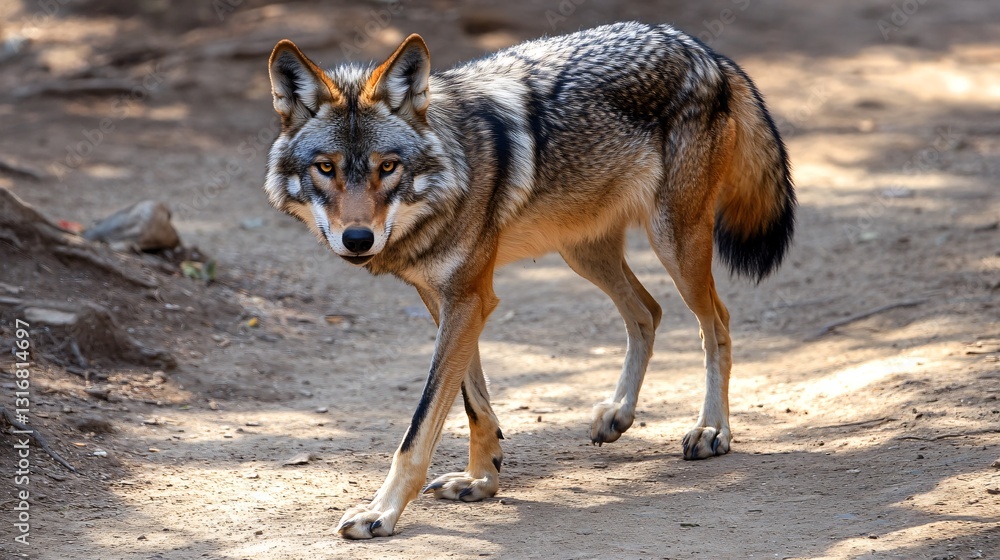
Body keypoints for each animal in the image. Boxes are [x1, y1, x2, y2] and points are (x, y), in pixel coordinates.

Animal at [263, 21, 795, 539]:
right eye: (325, 168)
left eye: (387, 167)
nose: (357, 238)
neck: (455, 166)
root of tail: (703, 50)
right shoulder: (448, 300)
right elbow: (474, 404)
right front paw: (481, 480)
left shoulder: (469, 298)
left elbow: (420, 427)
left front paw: (382, 513)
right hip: (584, 253)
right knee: (648, 311)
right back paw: (618, 414)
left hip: (674, 245)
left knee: (716, 324)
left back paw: (712, 430)